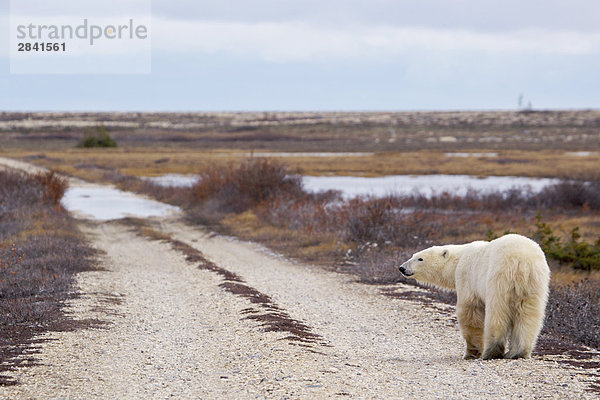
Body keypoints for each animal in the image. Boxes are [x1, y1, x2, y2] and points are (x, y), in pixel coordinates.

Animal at [398, 233, 548, 360]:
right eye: (414, 255)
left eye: (420, 258)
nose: (402, 268)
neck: (459, 258)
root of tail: (523, 262)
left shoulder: (467, 276)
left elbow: (470, 312)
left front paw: (471, 352)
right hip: (534, 284)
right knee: (529, 316)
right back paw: (518, 352)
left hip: (499, 279)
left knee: (497, 313)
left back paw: (491, 351)